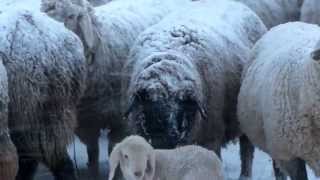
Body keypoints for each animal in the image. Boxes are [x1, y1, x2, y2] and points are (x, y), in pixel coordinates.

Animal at [41, 0, 194, 176]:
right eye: (45, 16)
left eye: (71, 16)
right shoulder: (86, 121)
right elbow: (93, 152)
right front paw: (93, 172)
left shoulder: (121, 120)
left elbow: (113, 148)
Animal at [121, 0, 266, 179]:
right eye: (149, 102)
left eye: (182, 104)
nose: (166, 136)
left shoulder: (210, 139)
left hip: (246, 116)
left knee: (247, 150)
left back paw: (245, 175)